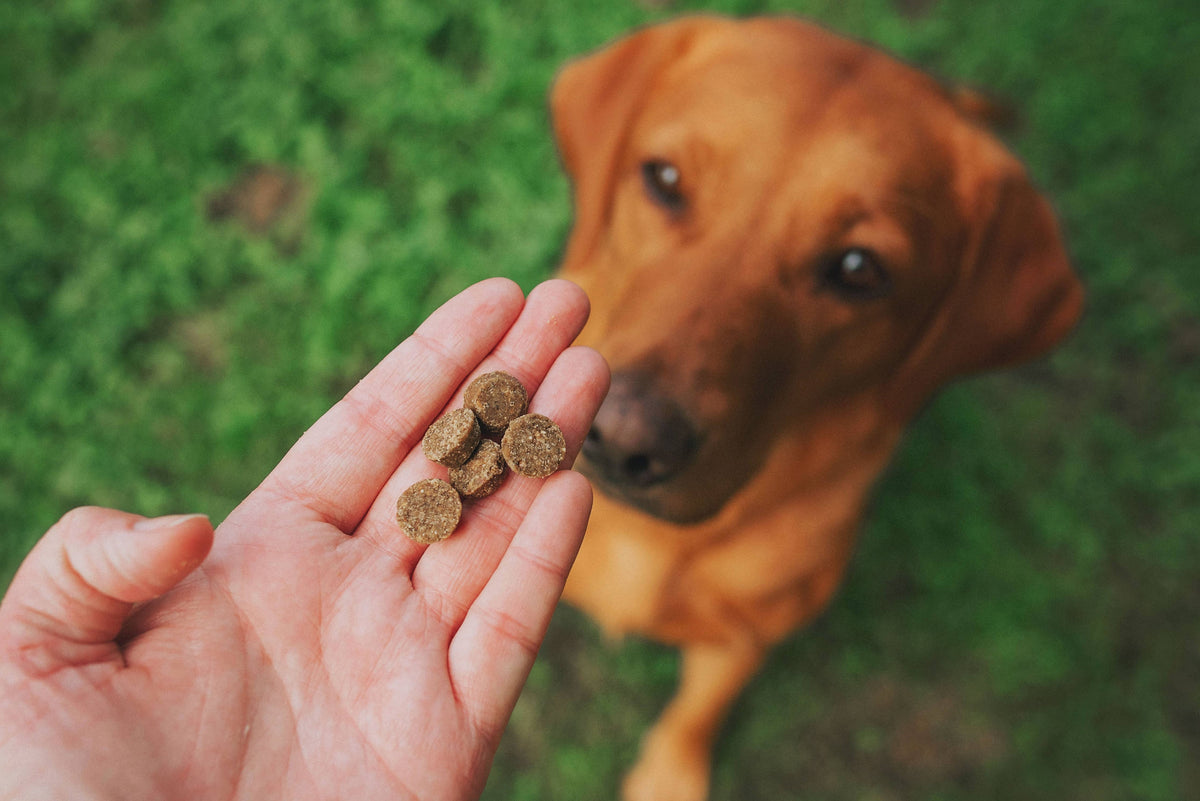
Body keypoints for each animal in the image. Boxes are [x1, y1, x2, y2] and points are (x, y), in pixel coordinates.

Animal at [552, 14, 1089, 801]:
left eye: (859, 270)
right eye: (665, 180)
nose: (623, 440)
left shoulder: (747, 635)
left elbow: (700, 708)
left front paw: (670, 772)